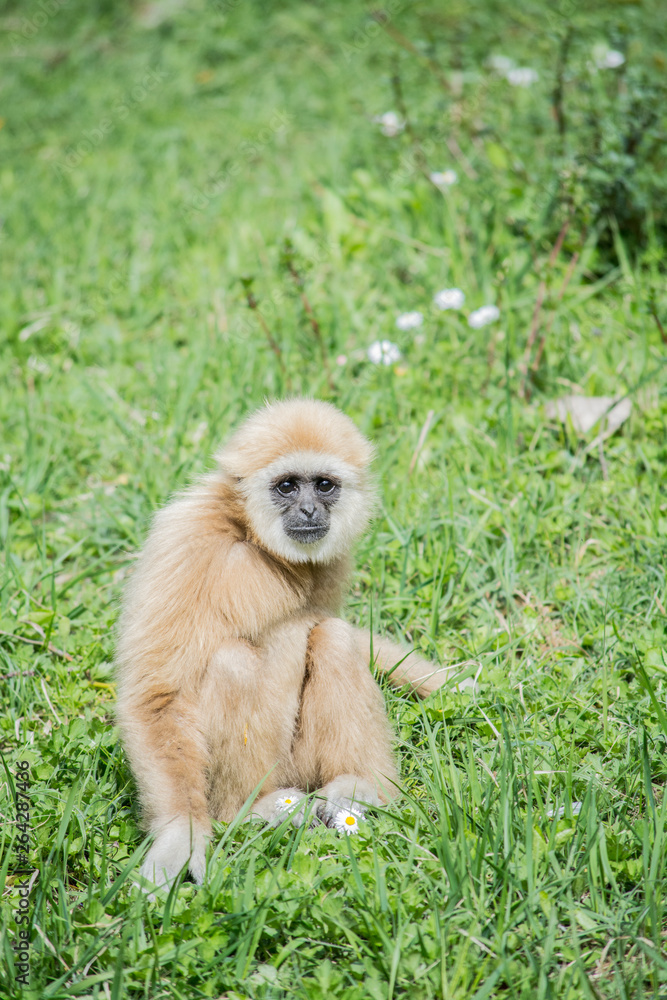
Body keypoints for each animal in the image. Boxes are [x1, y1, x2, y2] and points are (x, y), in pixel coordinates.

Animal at [115, 399, 451, 888]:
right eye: (287, 486)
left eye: (324, 485)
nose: (309, 510)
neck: (252, 540)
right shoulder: (185, 543)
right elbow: (158, 695)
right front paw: (181, 836)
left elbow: (335, 624)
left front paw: (447, 681)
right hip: (273, 773)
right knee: (232, 662)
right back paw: (253, 809)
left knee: (334, 638)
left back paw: (360, 786)